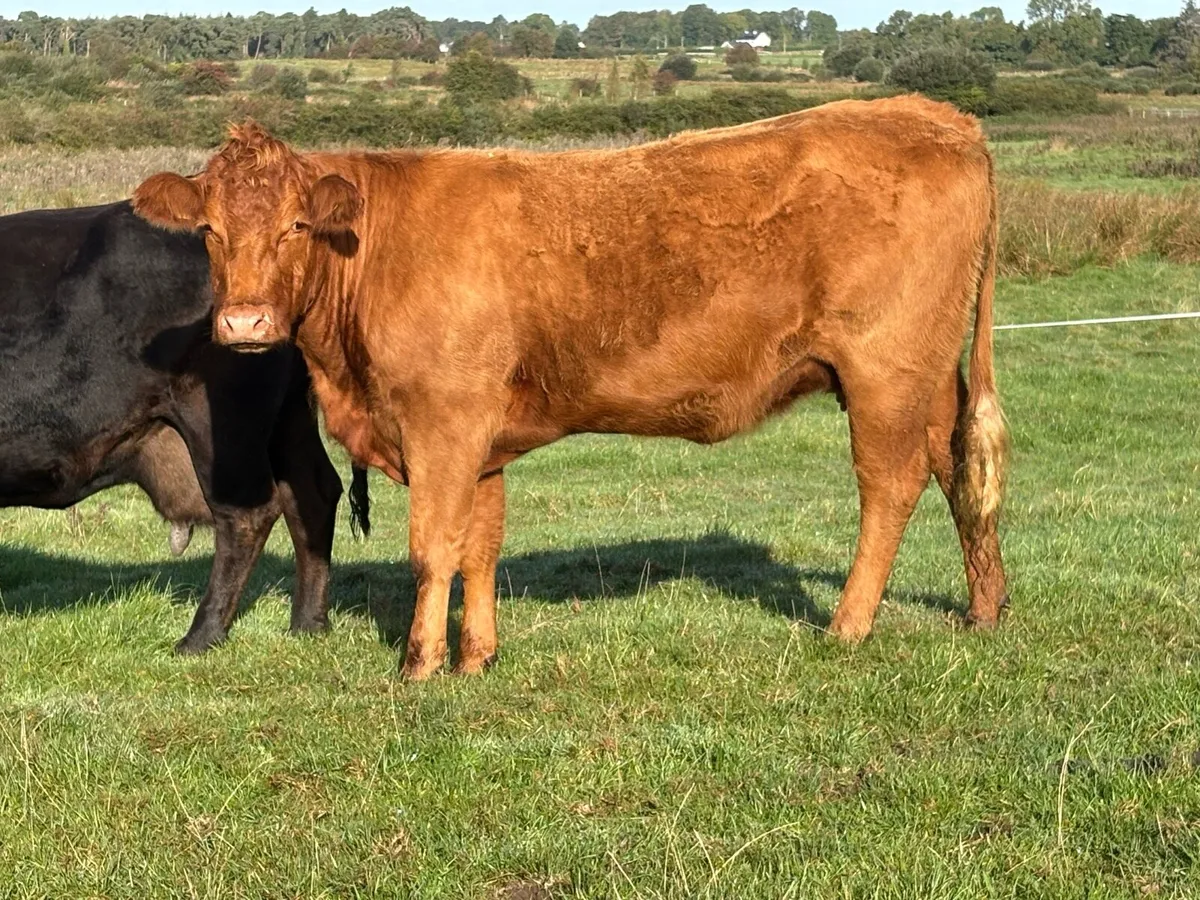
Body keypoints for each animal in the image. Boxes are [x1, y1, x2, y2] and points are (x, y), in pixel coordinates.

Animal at [0, 201, 366, 653]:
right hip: (289, 417)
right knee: (313, 495)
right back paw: (308, 624)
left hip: (220, 422)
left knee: (248, 514)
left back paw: (200, 636)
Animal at [133, 95, 1010, 680]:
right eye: (209, 230)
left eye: (296, 227)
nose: (245, 323)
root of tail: (934, 116)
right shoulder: (480, 437)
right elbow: (479, 546)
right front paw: (476, 658)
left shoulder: (443, 423)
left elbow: (433, 547)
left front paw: (419, 665)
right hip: (931, 378)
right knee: (959, 472)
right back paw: (984, 610)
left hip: (884, 372)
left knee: (890, 486)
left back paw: (848, 626)